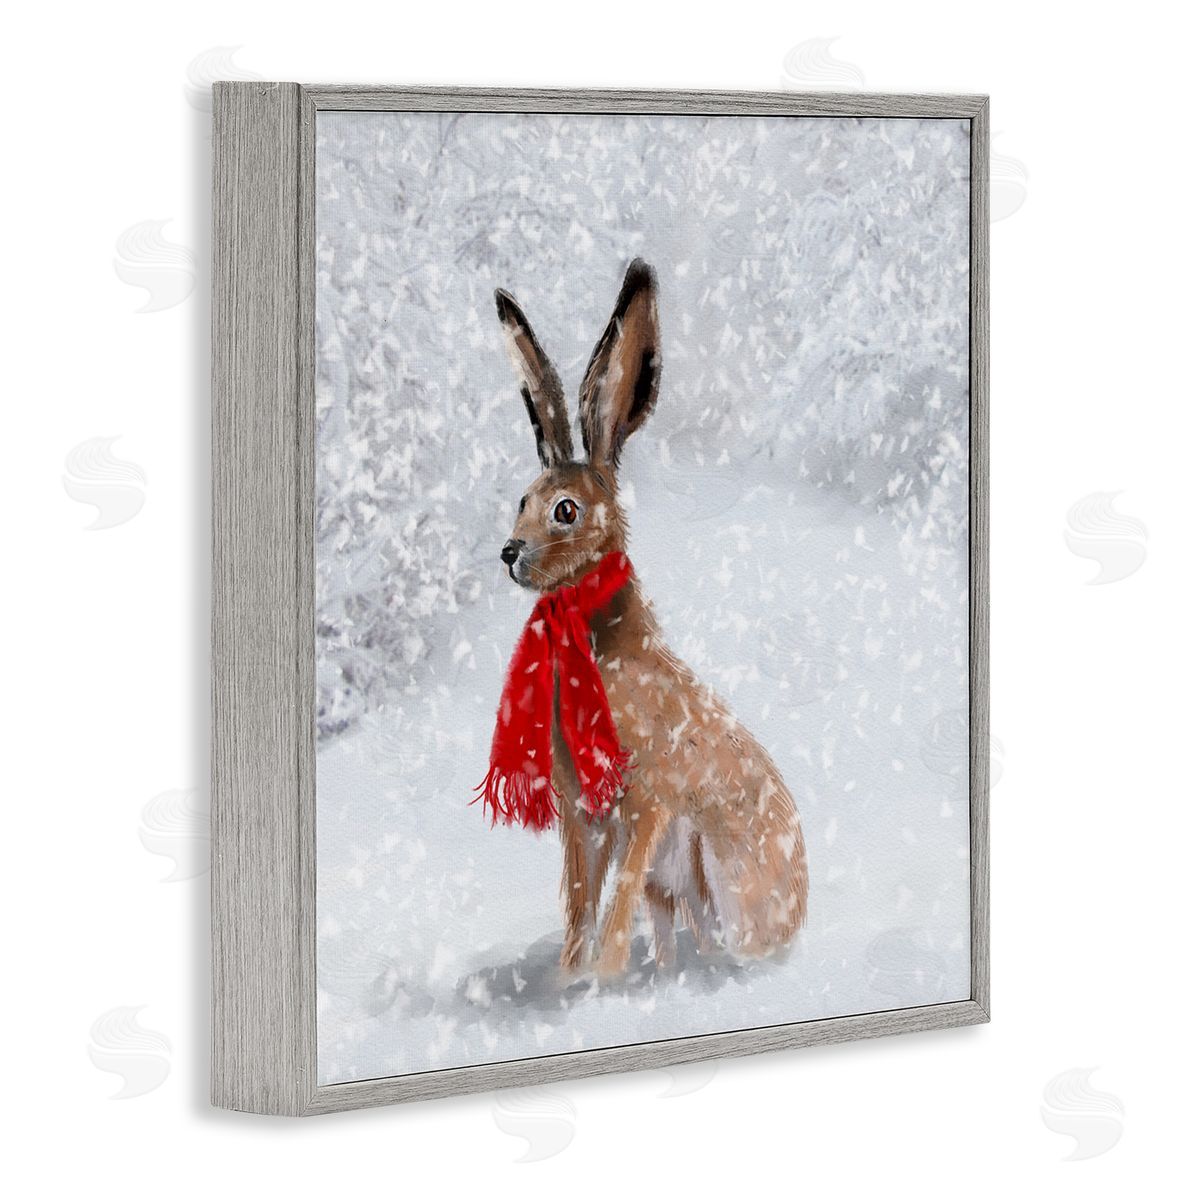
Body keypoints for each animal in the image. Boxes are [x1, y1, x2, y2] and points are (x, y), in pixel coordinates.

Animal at [492, 258, 808, 977]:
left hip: (710, 862)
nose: (509, 553)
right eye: (522, 499)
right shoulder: (583, 819)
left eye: (566, 511)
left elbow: (612, 910)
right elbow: (581, 904)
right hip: (678, 885)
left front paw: (600, 980)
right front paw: (571, 980)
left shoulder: (649, 803)